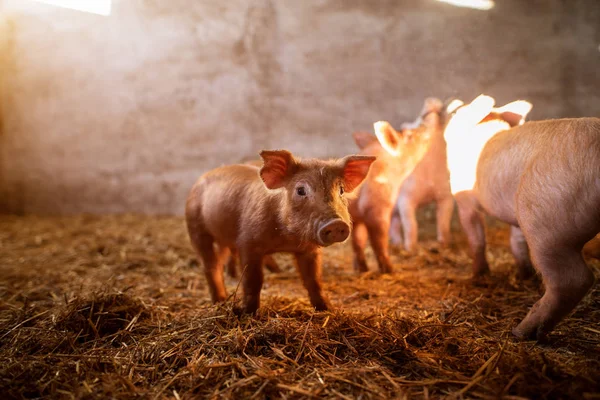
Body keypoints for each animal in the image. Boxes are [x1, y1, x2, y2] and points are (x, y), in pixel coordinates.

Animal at [185, 145, 378, 314]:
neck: (286, 239)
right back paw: (220, 301)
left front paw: (328, 309)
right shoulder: (247, 242)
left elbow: (314, 279)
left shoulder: (309, 250)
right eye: (300, 190)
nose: (336, 224)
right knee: (210, 265)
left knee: (221, 259)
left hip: (223, 237)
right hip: (196, 227)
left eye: (341, 190)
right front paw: (247, 313)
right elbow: (253, 280)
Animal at [446, 94, 600, 340]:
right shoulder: (513, 214)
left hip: (547, 221)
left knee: (574, 279)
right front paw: (523, 275)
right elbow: (516, 240)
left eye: (457, 113)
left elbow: (476, 238)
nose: (451, 105)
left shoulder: (463, 198)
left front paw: (477, 275)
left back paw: (521, 332)